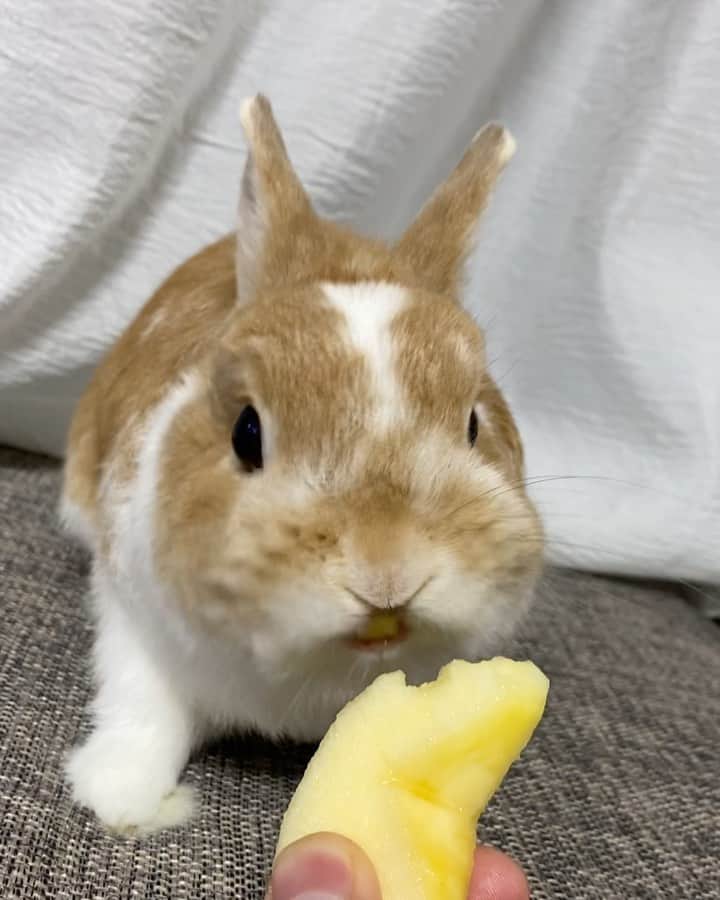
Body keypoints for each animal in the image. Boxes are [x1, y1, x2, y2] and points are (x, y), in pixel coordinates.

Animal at [60, 95, 543, 835]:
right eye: (246, 432)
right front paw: (122, 801)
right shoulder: (132, 613)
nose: (387, 575)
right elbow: (144, 704)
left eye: (473, 424)